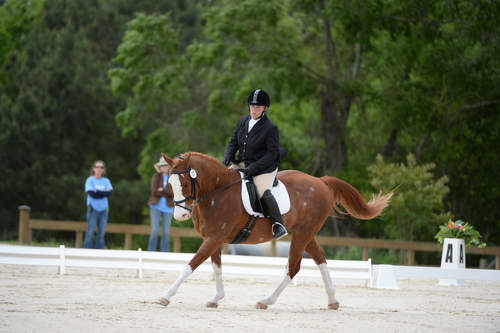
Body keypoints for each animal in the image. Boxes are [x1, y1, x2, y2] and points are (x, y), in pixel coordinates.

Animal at [158, 151, 392, 308]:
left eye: (184, 183)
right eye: (170, 184)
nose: (180, 216)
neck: (218, 192)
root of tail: (321, 182)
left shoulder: (214, 238)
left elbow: (191, 265)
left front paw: (166, 296)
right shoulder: (214, 239)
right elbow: (216, 268)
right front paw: (216, 299)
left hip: (302, 234)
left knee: (293, 268)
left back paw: (266, 300)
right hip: (306, 234)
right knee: (321, 260)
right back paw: (333, 300)